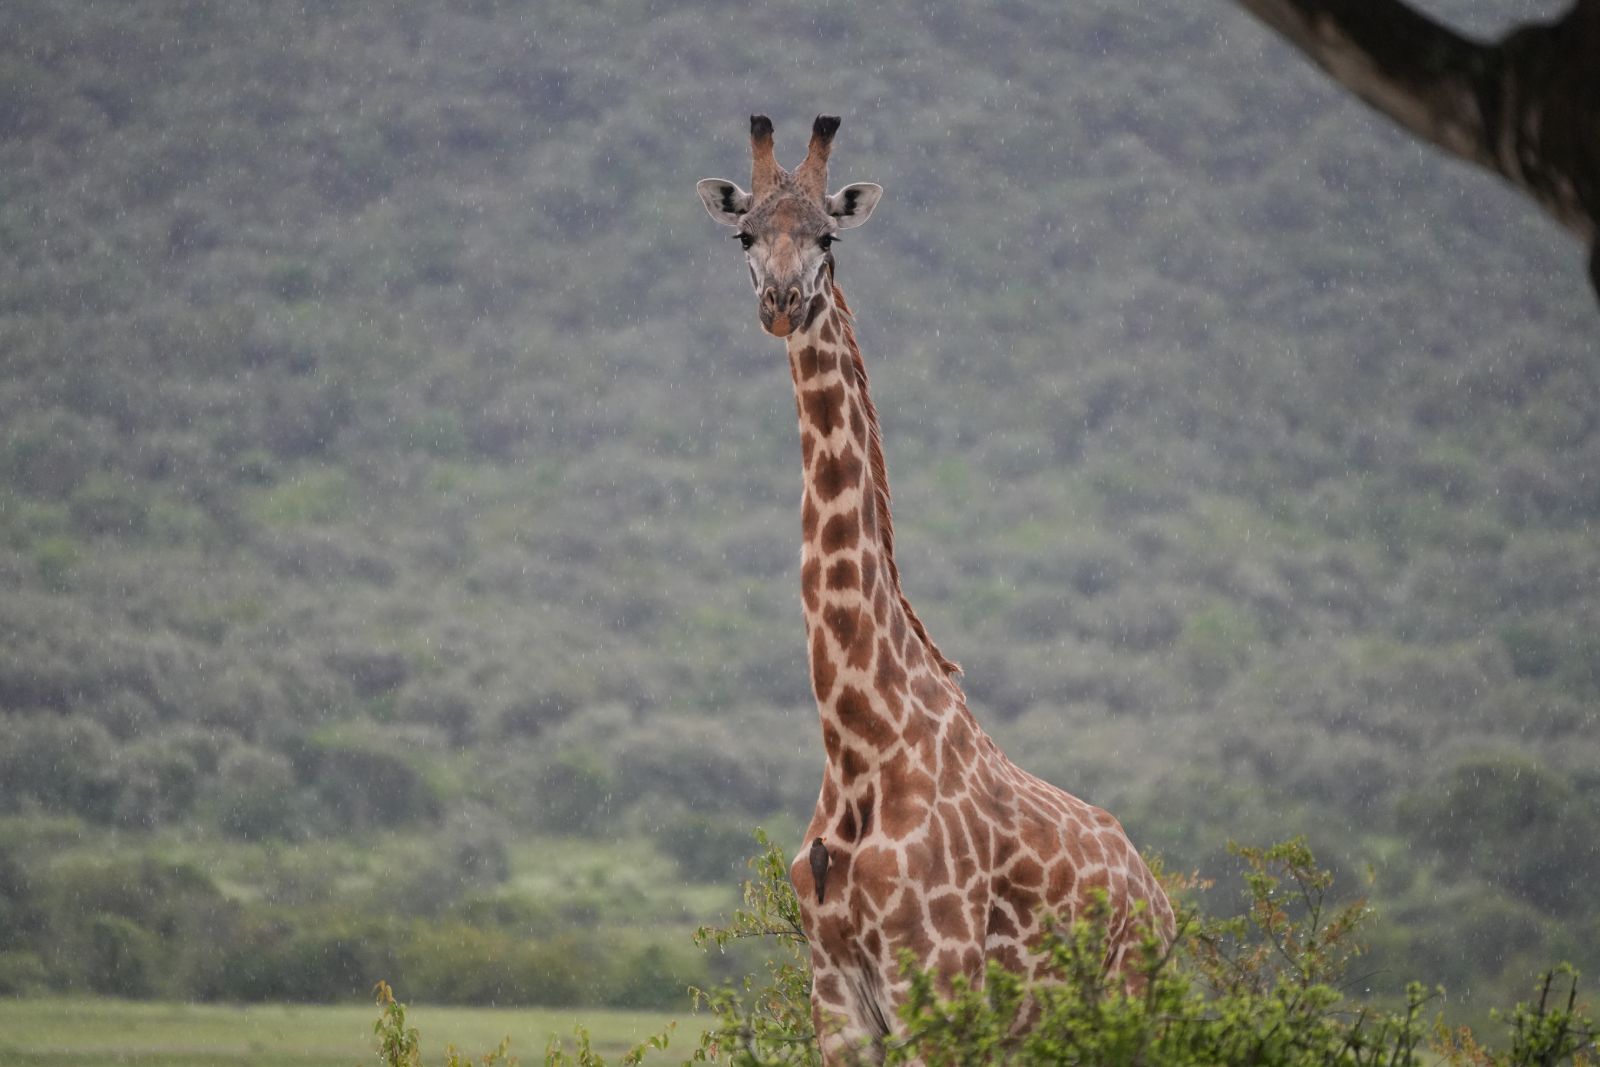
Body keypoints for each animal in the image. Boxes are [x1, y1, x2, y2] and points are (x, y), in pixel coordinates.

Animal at [697, 115, 1175, 1064]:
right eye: (744, 234)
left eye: (828, 237)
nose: (783, 304)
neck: (859, 740)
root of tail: (1162, 902)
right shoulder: (837, 996)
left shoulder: (940, 984)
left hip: (1129, 1009)